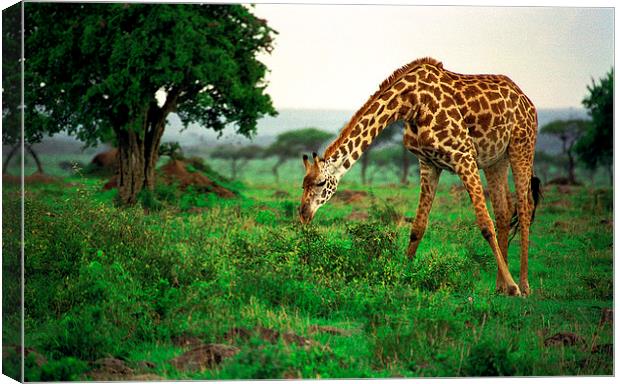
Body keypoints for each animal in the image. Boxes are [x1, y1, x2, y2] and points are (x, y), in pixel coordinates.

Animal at [300, 57, 536, 296]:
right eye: (303, 185)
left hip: (522, 145)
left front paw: (514, 287)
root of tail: (527, 100)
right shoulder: (427, 162)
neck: (411, 103)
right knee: (504, 211)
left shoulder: (463, 155)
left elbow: (485, 225)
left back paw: (524, 285)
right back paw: (499, 287)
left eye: (320, 183)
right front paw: (404, 275)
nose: (303, 214)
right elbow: (418, 227)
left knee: (524, 208)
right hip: (495, 159)